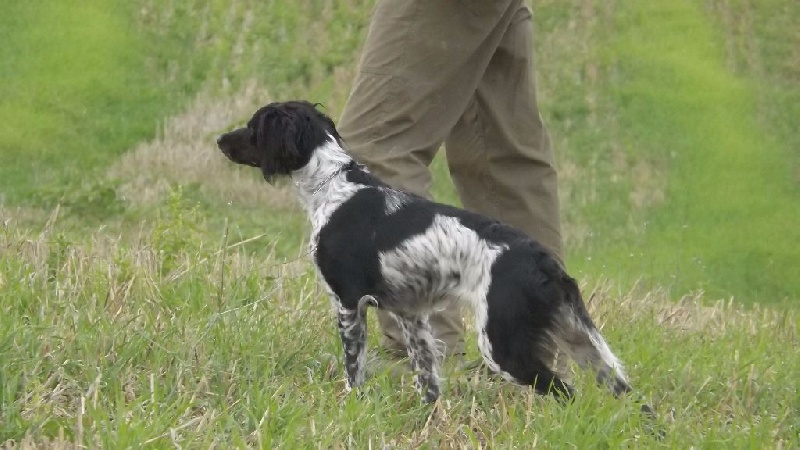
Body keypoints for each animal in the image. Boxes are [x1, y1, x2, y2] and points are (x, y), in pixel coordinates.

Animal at [216, 102, 648, 408]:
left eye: (253, 127)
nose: (220, 139)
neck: (335, 186)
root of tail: (542, 258)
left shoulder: (349, 303)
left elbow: (354, 369)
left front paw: (349, 406)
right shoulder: (411, 315)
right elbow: (428, 380)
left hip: (504, 345)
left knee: (566, 392)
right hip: (581, 343)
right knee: (629, 397)